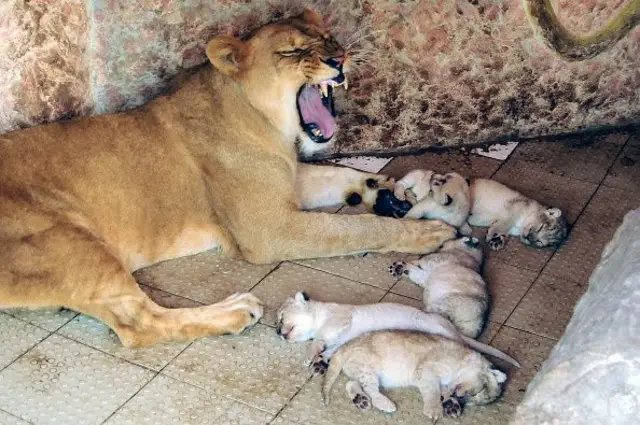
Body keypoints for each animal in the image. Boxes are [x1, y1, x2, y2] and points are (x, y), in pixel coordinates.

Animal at [0, 9, 455, 348]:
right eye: (292, 51)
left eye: (330, 38)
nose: (339, 59)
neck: (272, 125)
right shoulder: (269, 229)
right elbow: (350, 230)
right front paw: (427, 232)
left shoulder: (288, 181)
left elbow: (337, 172)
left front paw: (388, 191)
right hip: (73, 242)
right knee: (138, 325)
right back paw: (235, 310)